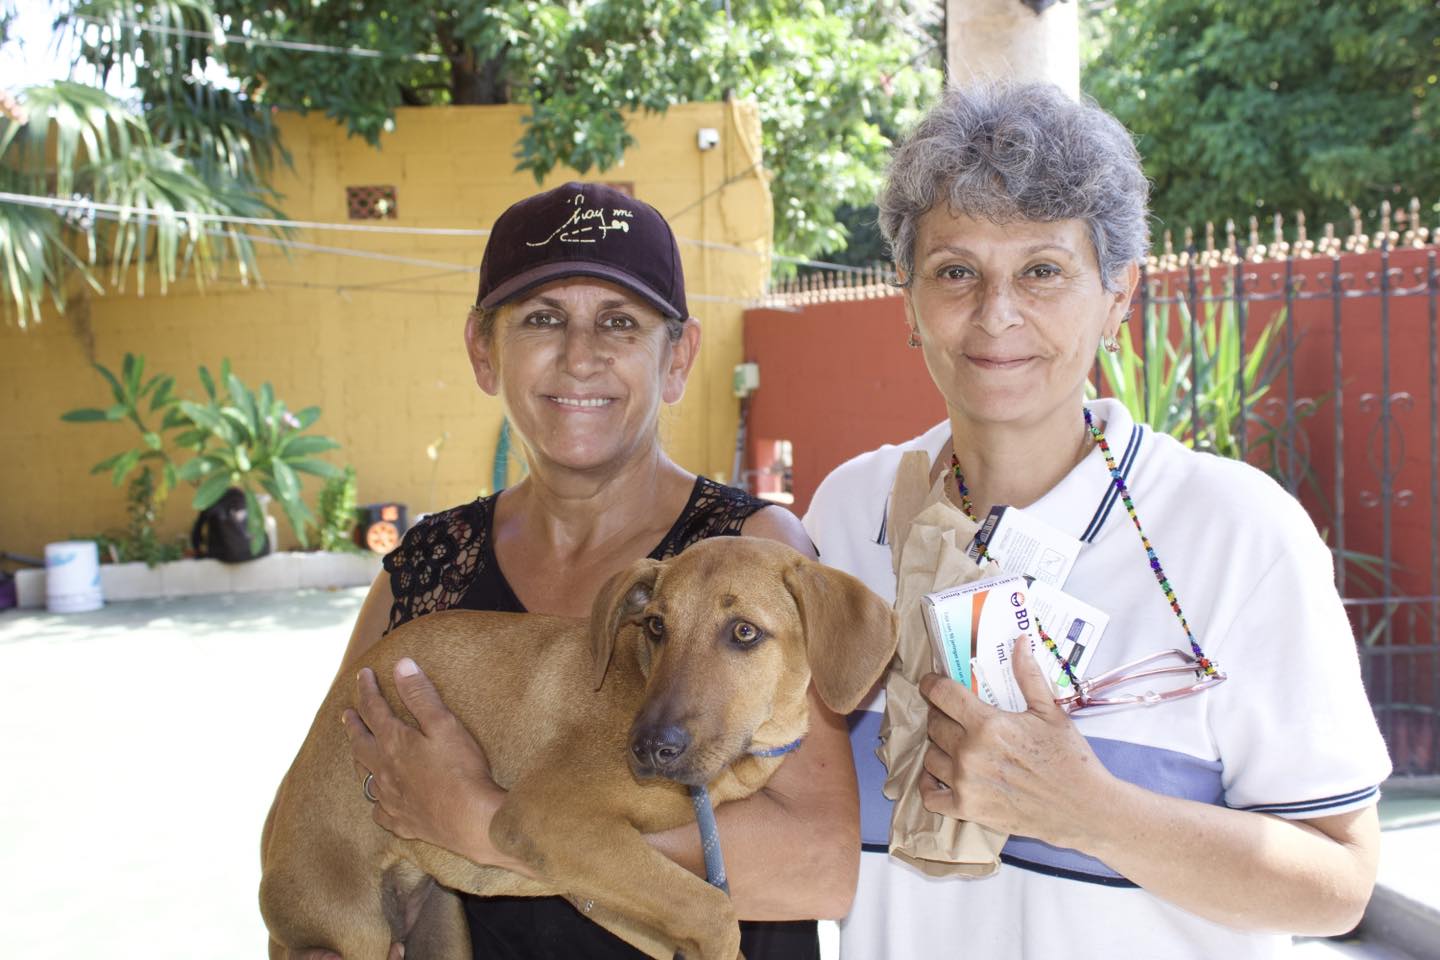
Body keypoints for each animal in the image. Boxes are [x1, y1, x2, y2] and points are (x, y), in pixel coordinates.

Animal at [260, 536, 897, 960]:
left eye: (745, 632)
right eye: (657, 626)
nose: (647, 748)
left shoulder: (598, 885)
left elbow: (691, 914)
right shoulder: (547, 818)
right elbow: (717, 911)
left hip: (442, 930)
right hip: (354, 937)